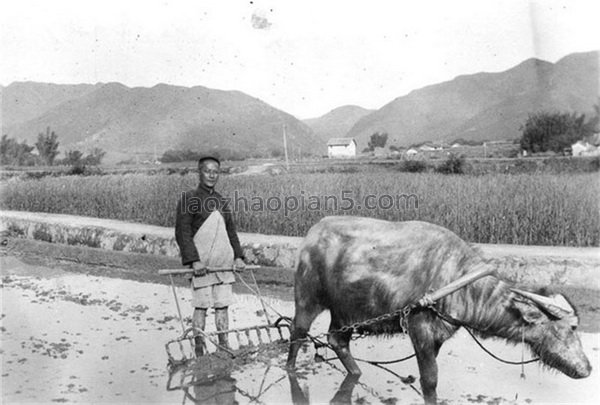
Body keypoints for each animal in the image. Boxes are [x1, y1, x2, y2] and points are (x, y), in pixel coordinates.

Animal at [286, 216, 592, 404]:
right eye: (570, 328)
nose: (587, 369)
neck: (456, 281)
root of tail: (312, 234)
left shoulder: (438, 336)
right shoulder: (420, 331)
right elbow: (430, 381)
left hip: (344, 312)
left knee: (337, 340)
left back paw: (355, 372)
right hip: (307, 299)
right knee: (297, 334)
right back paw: (290, 368)